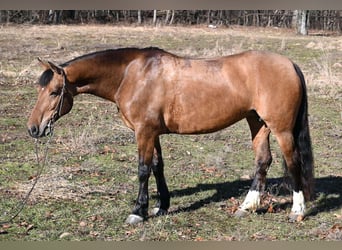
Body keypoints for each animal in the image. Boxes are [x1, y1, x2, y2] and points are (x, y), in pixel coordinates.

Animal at [28, 47, 314, 225]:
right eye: (39, 89)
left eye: (54, 92)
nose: (33, 128)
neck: (130, 75)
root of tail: (290, 64)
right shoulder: (152, 132)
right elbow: (157, 166)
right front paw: (161, 206)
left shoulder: (144, 132)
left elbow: (143, 170)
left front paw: (138, 212)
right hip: (258, 123)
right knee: (263, 161)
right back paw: (247, 207)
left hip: (281, 130)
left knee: (293, 163)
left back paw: (297, 211)